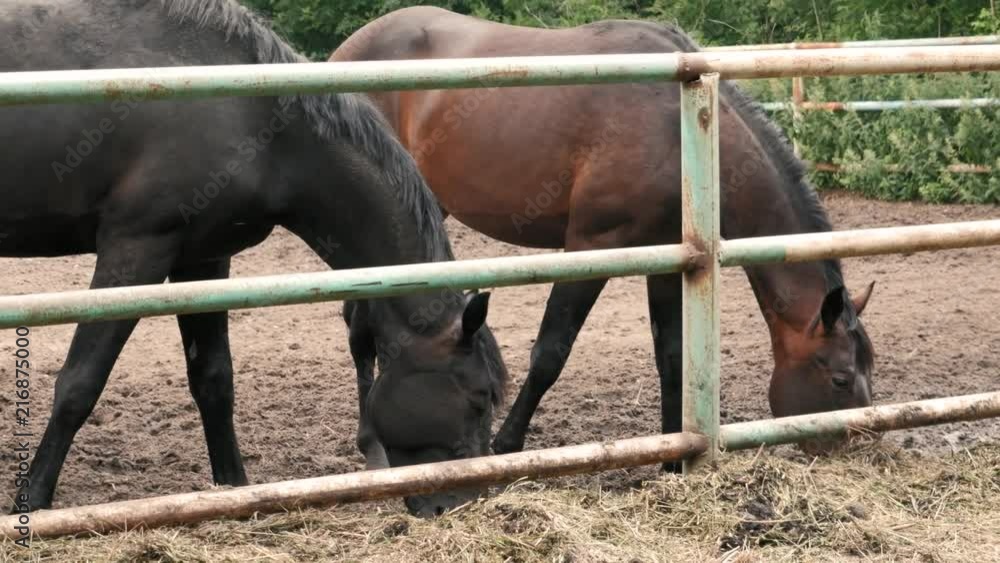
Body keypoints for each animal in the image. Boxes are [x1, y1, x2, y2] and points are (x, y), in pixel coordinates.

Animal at [0, 0, 508, 518]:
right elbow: (80, 383)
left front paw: (235, 489)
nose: (462, 502)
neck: (256, 119)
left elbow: (213, 380)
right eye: (479, 398)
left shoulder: (203, 259)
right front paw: (33, 501)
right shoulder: (135, 250)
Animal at [331, 6, 876, 468]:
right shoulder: (591, 246)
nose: (849, 450)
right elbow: (550, 352)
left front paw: (672, 458)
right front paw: (507, 445)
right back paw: (374, 442)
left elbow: (672, 356)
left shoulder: (667, 259)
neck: (677, 126)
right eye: (840, 377)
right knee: (359, 324)